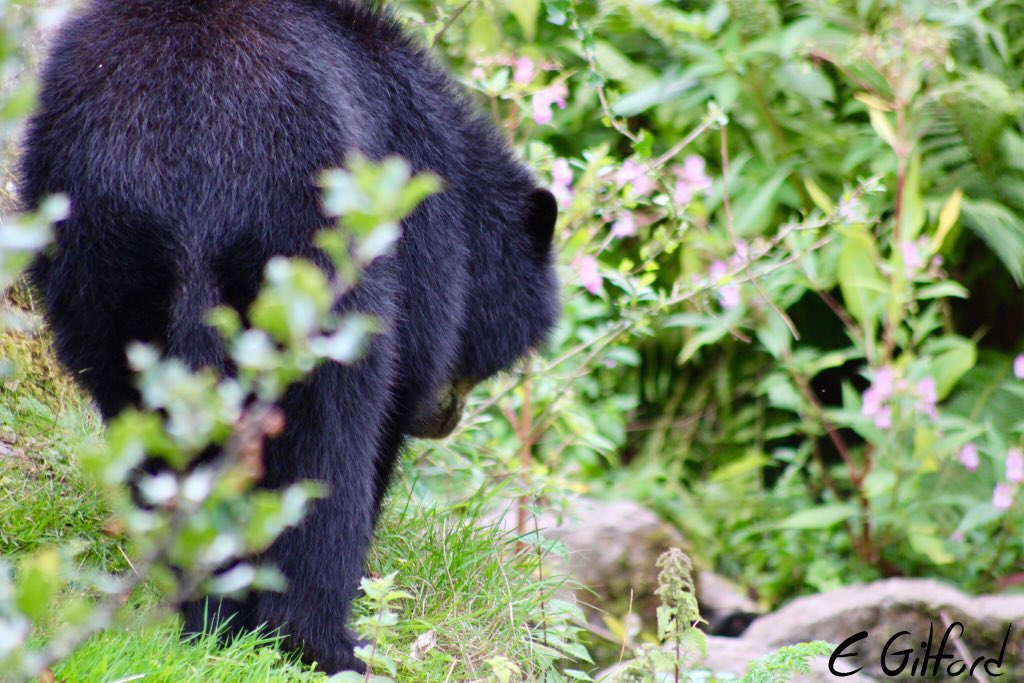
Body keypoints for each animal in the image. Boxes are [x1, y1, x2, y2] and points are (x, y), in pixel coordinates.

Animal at [19, 0, 559, 673]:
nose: (447, 418)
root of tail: (186, 155)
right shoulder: (417, 218)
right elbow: (400, 383)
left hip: (94, 252)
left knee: (141, 414)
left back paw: (202, 614)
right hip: (311, 249)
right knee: (329, 430)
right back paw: (325, 642)